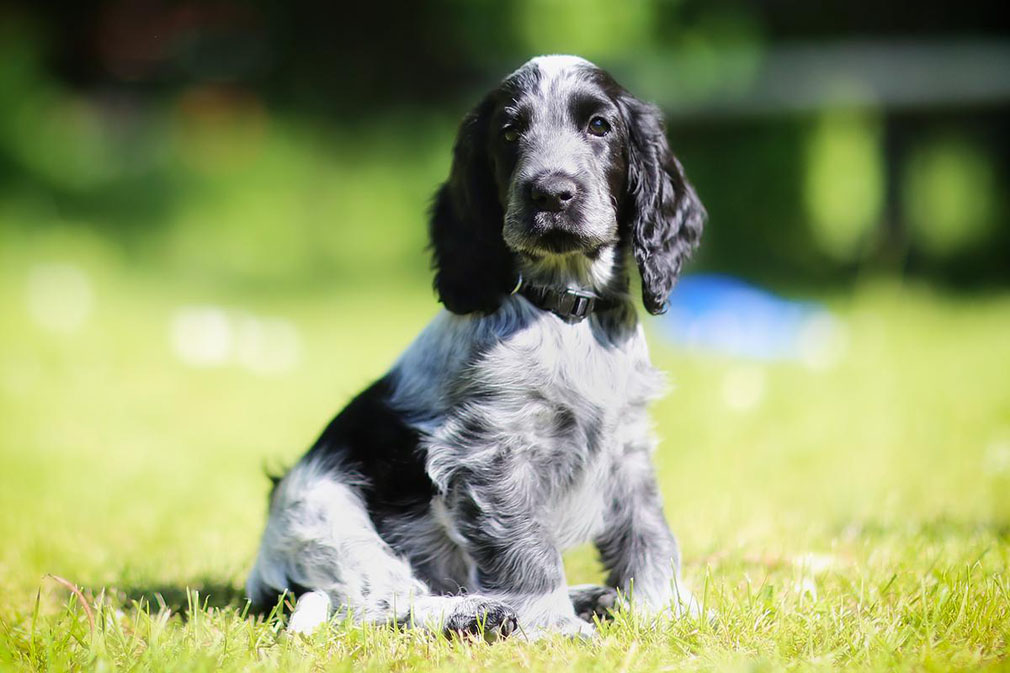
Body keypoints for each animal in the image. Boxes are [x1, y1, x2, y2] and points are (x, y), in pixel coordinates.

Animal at [248, 55, 707, 638]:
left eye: (599, 126)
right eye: (509, 132)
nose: (550, 193)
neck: (566, 312)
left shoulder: (626, 447)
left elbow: (647, 532)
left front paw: (663, 612)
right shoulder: (489, 452)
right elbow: (527, 550)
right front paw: (552, 626)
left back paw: (586, 597)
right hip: (326, 514)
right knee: (383, 603)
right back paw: (483, 612)